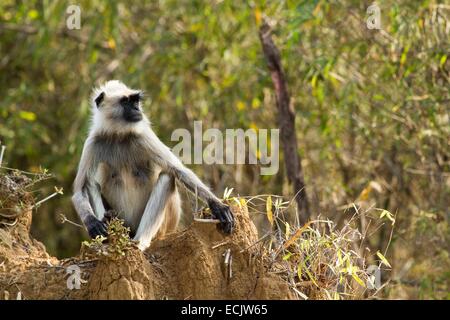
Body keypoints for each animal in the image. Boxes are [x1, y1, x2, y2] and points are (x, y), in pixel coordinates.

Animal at [72, 80, 234, 250]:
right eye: (126, 102)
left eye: (135, 101)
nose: (137, 109)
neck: (119, 135)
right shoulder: (92, 143)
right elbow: (79, 191)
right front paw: (92, 223)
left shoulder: (144, 136)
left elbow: (179, 171)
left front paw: (217, 205)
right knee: (90, 184)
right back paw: (108, 233)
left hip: (163, 229)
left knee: (167, 177)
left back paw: (139, 243)